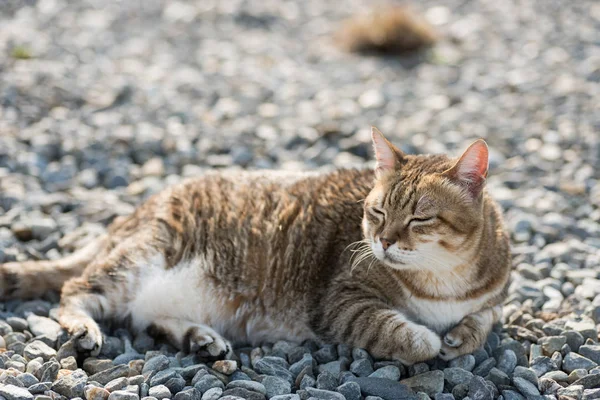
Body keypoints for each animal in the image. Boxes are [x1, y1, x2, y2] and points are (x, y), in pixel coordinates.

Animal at [0, 130, 510, 364]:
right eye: (378, 213)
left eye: (420, 218)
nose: (383, 241)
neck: (442, 280)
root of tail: (133, 210)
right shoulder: (342, 303)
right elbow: (405, 334)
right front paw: (431, 339)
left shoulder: (494, 295)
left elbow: (485, 317)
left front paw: (463, 334)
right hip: (144, 254)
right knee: (74, 290)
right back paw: (86, 326)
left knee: (145, 317)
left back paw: (197, 336)